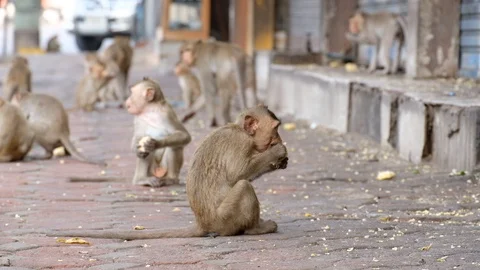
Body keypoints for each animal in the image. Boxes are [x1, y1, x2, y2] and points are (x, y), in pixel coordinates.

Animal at [46, 104, 288, 239]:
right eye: (276, 129)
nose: (279, 138)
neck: (241, 131)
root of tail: (203, 224)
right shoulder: (239, 143)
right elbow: (240, 173)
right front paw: (277, 152)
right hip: (225, 218)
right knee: (243, 186)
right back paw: (255, 229)